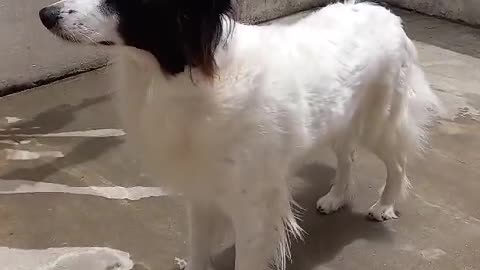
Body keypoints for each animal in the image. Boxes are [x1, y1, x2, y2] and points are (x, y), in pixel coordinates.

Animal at [39, 0, 440, 268]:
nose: (45, 14)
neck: (189, 77)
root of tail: (386, 13)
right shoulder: (201, 192)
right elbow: (198, 250)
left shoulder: (253, 208)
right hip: (340, 119)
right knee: (348, 155)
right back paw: (336, 197)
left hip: (379, 121)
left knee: (398, 162)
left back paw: (384, 205)